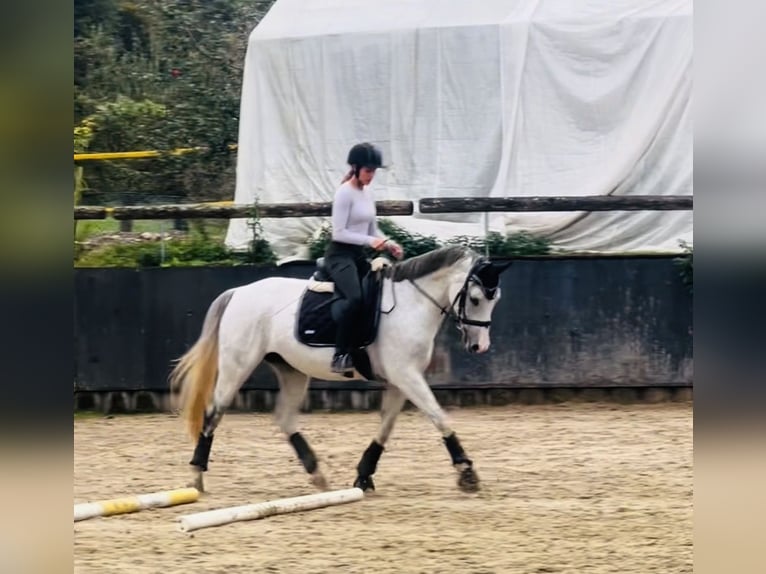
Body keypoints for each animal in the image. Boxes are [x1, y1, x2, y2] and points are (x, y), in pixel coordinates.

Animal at [168, 244, 510, 496]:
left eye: (496, 300)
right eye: (475, 298)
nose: (479, 346)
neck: (411, 305)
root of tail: (239, 292)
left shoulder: (400, 380)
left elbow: (386, 427)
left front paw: (364, 476)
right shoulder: (406, 376)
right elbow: (439, 416)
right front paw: (467, 472)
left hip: (292, 370)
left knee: (284, 418)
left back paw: (317, 475)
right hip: (237, 366)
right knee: (213, 412)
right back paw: (196, 476)